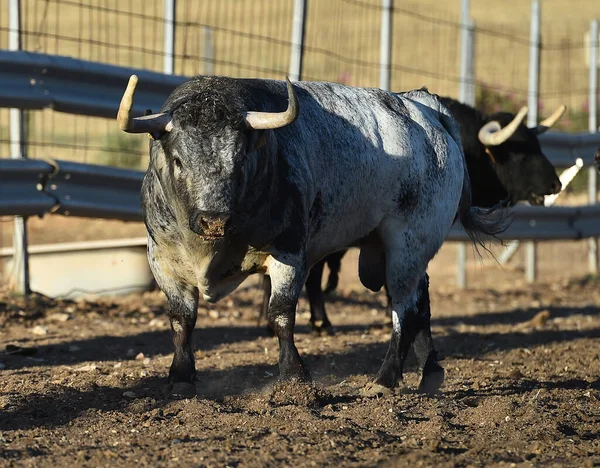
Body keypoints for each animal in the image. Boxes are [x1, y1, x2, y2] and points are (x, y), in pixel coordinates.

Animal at [116, 75, 502, 396]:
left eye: (239, 160)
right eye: (179, 161)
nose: (214, 220)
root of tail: (425, 107)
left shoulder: (289, 255)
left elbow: (281, 314)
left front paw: (293, 374)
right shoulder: (163, 260)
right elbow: (182, 319)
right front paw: (181, 376)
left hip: (408, 243)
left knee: (404, 309)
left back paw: (385, 378)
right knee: (421, 303)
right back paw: (430, 372)